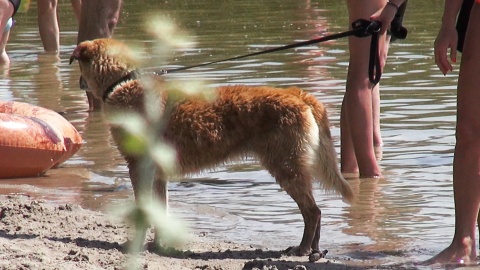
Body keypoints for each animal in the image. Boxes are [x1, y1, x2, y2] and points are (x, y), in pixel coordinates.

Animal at [72, 38, 356, 258]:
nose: (78, 82)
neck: (123, 83)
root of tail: (299, 95)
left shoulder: (138, 167)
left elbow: (144, 209)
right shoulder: (158, 174)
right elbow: (161, 211)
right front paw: (158, 245)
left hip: (287, 168)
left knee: (312, 212)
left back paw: (303, 248)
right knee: (316, 212)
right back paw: (314, 250)